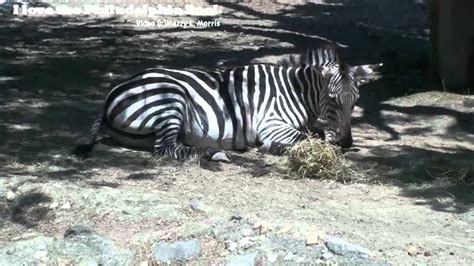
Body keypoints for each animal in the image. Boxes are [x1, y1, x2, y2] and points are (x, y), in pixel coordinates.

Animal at [76, 44, 384, 161]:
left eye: (355, 102)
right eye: (332, 100)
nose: (347, 143)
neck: (295, 91)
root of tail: (113, 91)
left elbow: (317, 132)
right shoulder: (271, 124)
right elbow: (310, 137)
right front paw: (272, 148)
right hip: (170, 99)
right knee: (165, 149)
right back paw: (213, 153)